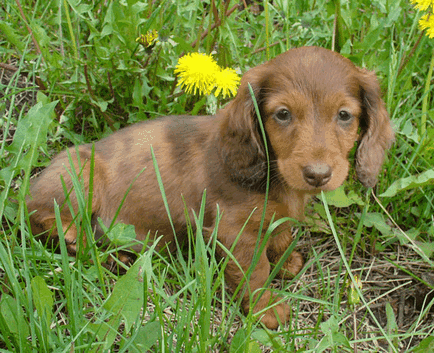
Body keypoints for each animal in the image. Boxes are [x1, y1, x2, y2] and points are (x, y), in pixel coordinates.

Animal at [26, 46, 394, 328]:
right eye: (283, 114)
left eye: (344, 115)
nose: (318, 175)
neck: (271, 171)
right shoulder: (232, 232)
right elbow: (255, 271)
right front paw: (267, 309)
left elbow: (279, 231)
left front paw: (285, 258)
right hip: (78, 175)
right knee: (39, 216)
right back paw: (74, 237)